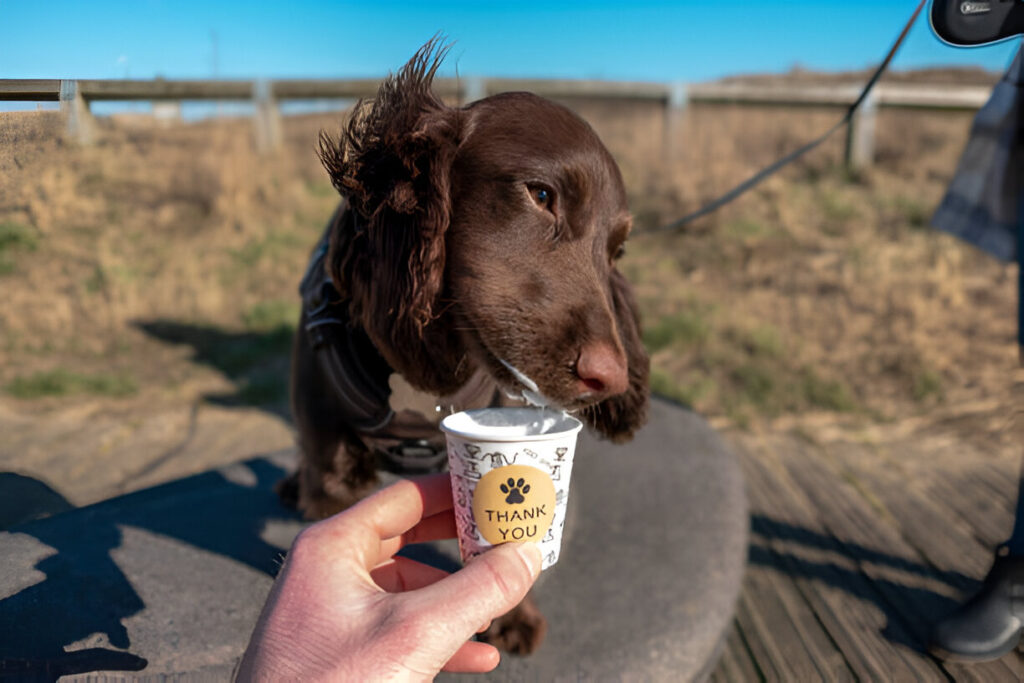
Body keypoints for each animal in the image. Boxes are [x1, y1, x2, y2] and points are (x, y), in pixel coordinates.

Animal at [280, 38, 647, 655]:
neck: (426, 376)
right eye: (540, 194)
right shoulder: (332, 474)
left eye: (616, 250)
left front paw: (512, 614)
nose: (609, 379)